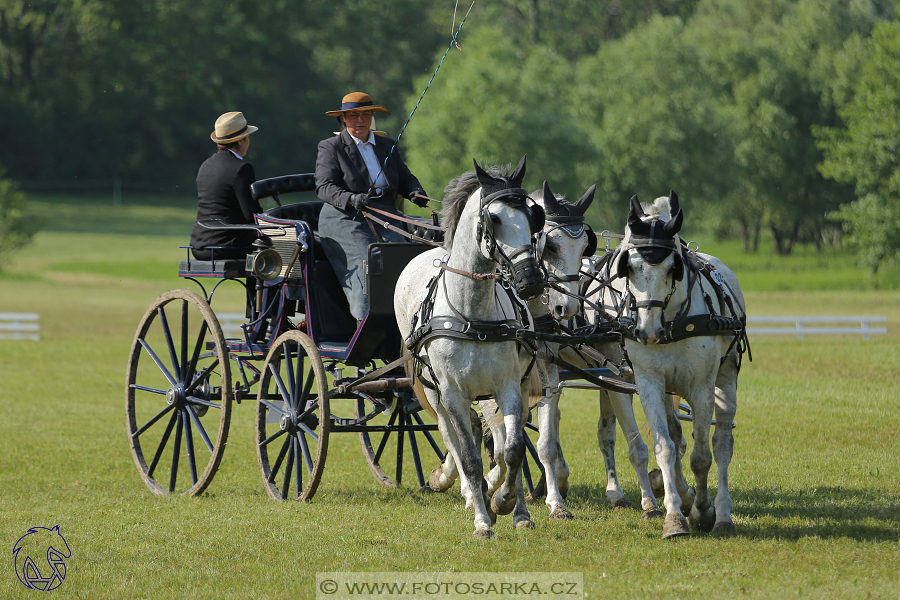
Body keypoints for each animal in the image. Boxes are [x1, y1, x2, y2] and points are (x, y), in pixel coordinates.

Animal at [396, 157, 548, 536]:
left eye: (532, 216)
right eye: (494, 218)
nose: (530, 278)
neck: (471, 313)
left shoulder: (508, 386)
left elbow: (512, 450)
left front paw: (508, 504)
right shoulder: (452, 393)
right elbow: (468, 455)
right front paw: (482, 519)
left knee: (498, 439)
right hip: (434, 391)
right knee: (451, 435)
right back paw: (465, 490)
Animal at [600, 193, 748, 540]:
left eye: (671, 269)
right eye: (630, 267)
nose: (647, 331)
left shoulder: (702, 386)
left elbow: (702, 456)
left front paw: (703, 511)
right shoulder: (649, 382)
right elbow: (665, 446)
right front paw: (674, 517)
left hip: (726, 379)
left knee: (722, 443)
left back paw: (721, 513)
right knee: (676, 435)